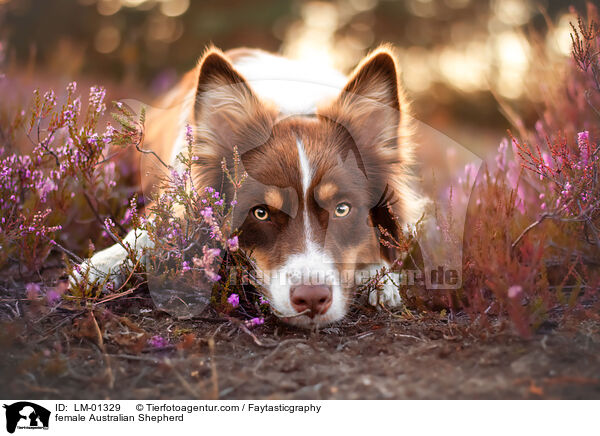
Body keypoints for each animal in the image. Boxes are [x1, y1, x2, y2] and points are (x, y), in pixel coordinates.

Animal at [72, 45, 422, 328]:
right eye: (261, 213)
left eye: (342, 209)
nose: (311, 298)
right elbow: (152, 230)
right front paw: (102, 264)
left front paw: (382, 280)